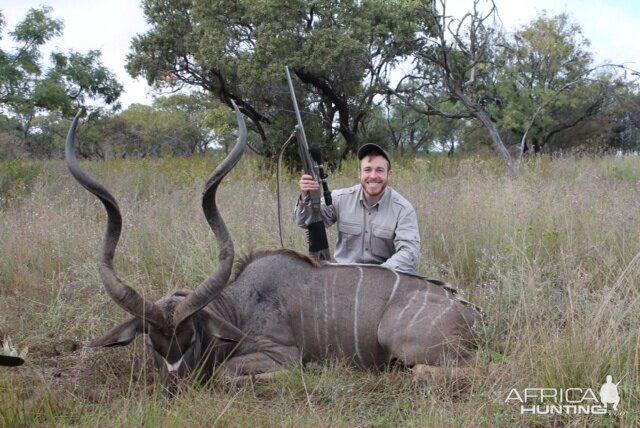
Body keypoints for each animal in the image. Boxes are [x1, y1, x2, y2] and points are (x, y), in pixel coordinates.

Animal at [66, 103, 480, 394]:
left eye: (192, 337)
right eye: (154, 343)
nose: (175, 388)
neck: (239, 305)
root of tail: (472, 314)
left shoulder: (281, 354)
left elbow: (227, 375)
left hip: (407, 344)